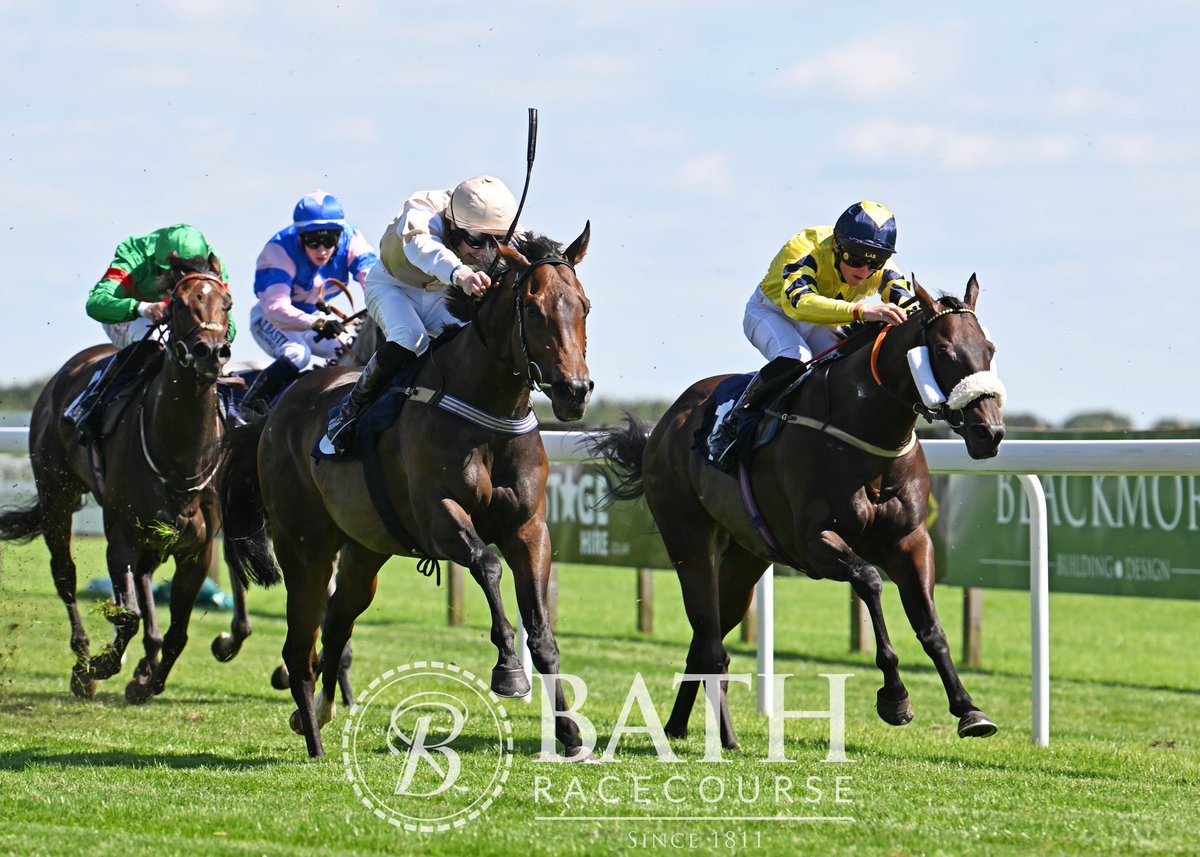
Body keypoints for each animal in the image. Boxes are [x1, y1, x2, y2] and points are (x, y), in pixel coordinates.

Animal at [0, 253, 232, 700]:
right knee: (66, 577)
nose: (211, 353)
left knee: (144, 581)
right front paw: (103, 664)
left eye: (226, 303)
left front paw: (147, 681)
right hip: (57, 496)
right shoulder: (121, 534)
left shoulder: (197, 549)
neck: (179, 453)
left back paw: (143, 662)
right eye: (179, 304)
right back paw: (83, 665)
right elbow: (127, 615)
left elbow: (178, 632)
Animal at [222, 226, 595, 753]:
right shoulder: (439, 516)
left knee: (336, 622)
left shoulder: (529, 528)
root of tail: (272, 415)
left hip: (364, 551)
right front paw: (507, 671)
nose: (574, 392)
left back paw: (319, 712)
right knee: (299, 647)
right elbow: (487, 563)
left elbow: (541, 630)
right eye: (533, 305)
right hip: (304, 548)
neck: (488, 410)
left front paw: (568, 730)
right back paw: (313, 738)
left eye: (584, 305)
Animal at [590, 277, 1003, 744]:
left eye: (989, 348)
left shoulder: (911, 540)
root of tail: (668, 421)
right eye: (946, 352)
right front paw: (895, 697)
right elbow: (869, 581)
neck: (866, 429)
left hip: (745, 559)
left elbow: (930, 625)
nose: (990, 433)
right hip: (688, 541)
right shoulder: (813, 544)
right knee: (710, 643)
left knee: (705, 644)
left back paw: (684, 728)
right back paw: (715, 736)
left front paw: (969, 709)